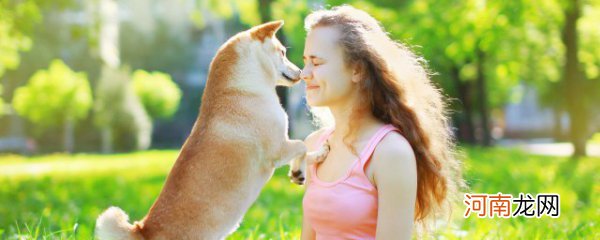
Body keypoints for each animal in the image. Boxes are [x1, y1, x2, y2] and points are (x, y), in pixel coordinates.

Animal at [95, 21, 328, 240]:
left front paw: (307, 165)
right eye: (283, 53)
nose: (301, 72)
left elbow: (305, 150)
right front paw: (303, 166)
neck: (240, 89)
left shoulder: (281, 146)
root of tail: (143, 230)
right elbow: (302, 146)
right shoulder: (277, 149)